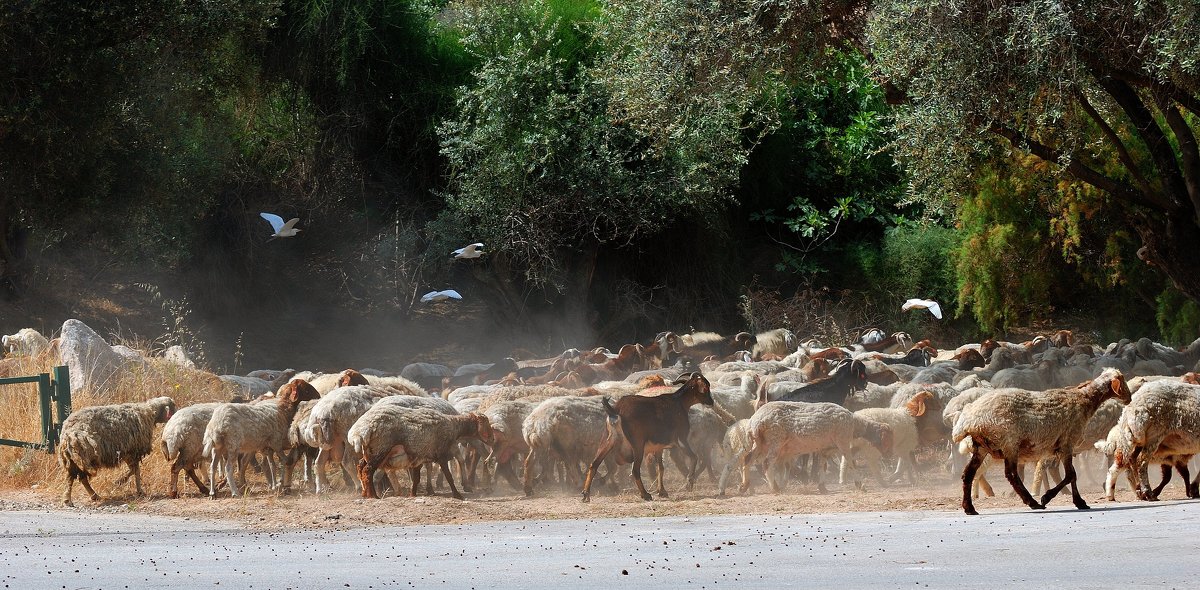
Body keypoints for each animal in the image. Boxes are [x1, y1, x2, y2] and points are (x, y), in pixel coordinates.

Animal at [578, 376, 710, 501]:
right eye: (706, 387)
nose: (711, 401)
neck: (679, 402)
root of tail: (616, 410)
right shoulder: (681, 439)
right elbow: (694, 457)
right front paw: (689, 484)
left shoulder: (659, 446)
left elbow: (661, 468)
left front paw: (662, 491)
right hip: (637, 444)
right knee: (635, 470)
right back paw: (645, 494)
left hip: (607, 440)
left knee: (594, 464)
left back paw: (586, 494)